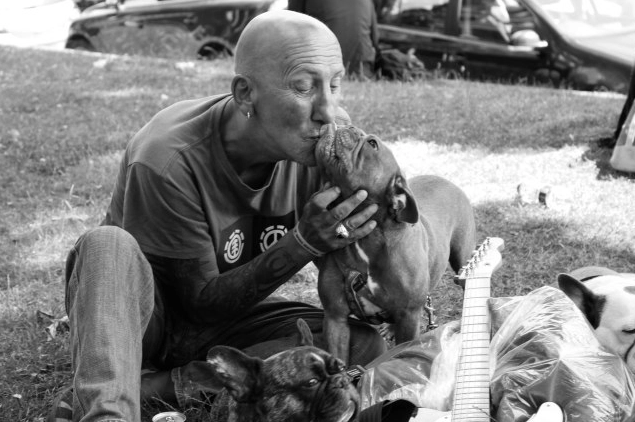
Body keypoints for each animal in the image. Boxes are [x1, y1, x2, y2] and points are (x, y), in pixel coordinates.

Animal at [316, 123, 474, 364]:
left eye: (372, 144)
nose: (347, 125)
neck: (368, 239)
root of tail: (445, 180)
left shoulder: (409, 317)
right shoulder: (335, 318)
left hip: (463, 261)